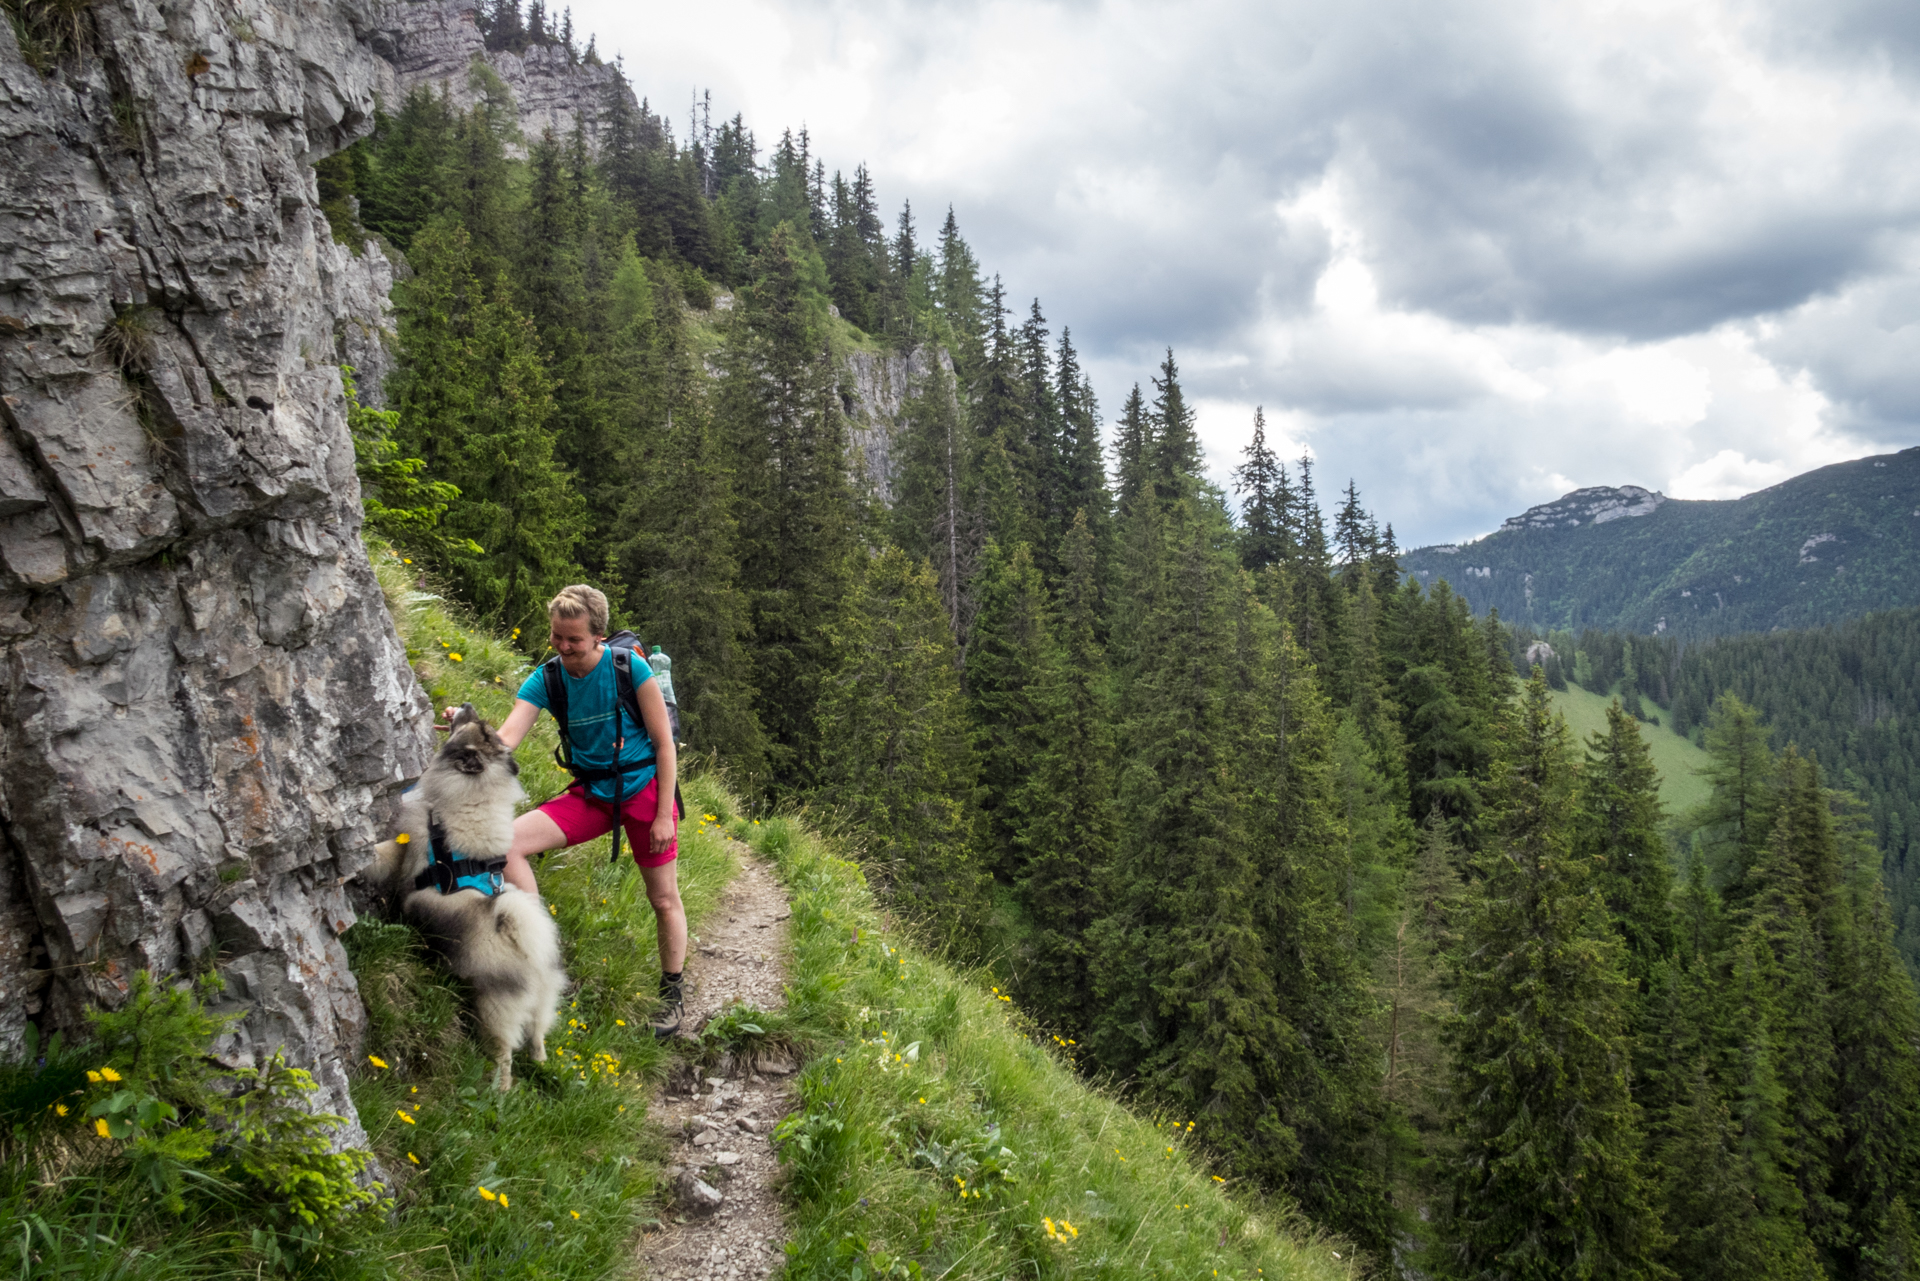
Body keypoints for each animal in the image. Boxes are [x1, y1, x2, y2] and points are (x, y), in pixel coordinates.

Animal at [364, 706, 560, 1090]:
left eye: (475, 725)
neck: (474, 791)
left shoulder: (406, 844)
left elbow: (382, 854)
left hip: (494, 1009)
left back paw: (499, 1090)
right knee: (538, 1033)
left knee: (504, 1052)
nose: (464, 707)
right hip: (544, 1002)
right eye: (485, 726)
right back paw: (541, 1061)